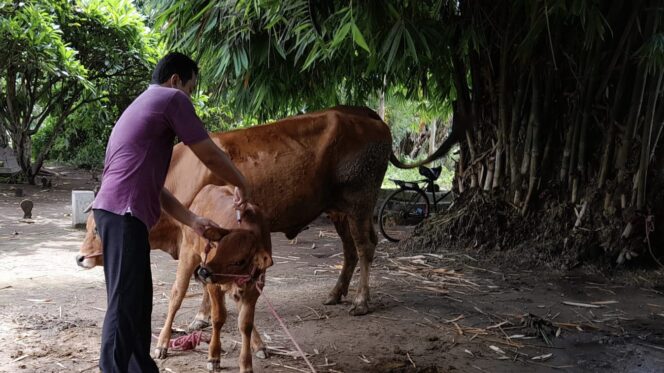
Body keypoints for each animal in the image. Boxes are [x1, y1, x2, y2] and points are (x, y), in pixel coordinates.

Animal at [161, 185, 272, 370]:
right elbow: (218, 318)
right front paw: (213, 357)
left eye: (239, 261)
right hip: (187, 255)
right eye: (218, 248)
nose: (204, 272)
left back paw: (259, 345)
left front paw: (246, 364)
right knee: (176, 296)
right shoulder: (214, 285)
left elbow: (246, 324)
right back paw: (162, 344)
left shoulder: (255, 288)